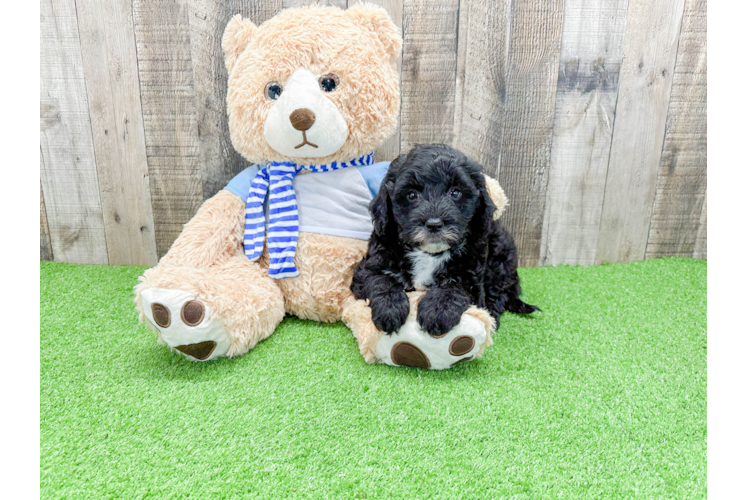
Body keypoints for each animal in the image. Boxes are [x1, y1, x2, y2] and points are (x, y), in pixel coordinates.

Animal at [350, 144, 536, 336]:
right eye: (411, 195)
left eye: (455, 192)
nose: (434, 224)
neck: (429, 253)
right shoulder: (369, 266)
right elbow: (380, 280)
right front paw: (390, 308)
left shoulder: (472, 276)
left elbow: (454, 287)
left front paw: (438, 311)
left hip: (501, 253)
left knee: (500, 292)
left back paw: (491, 316)